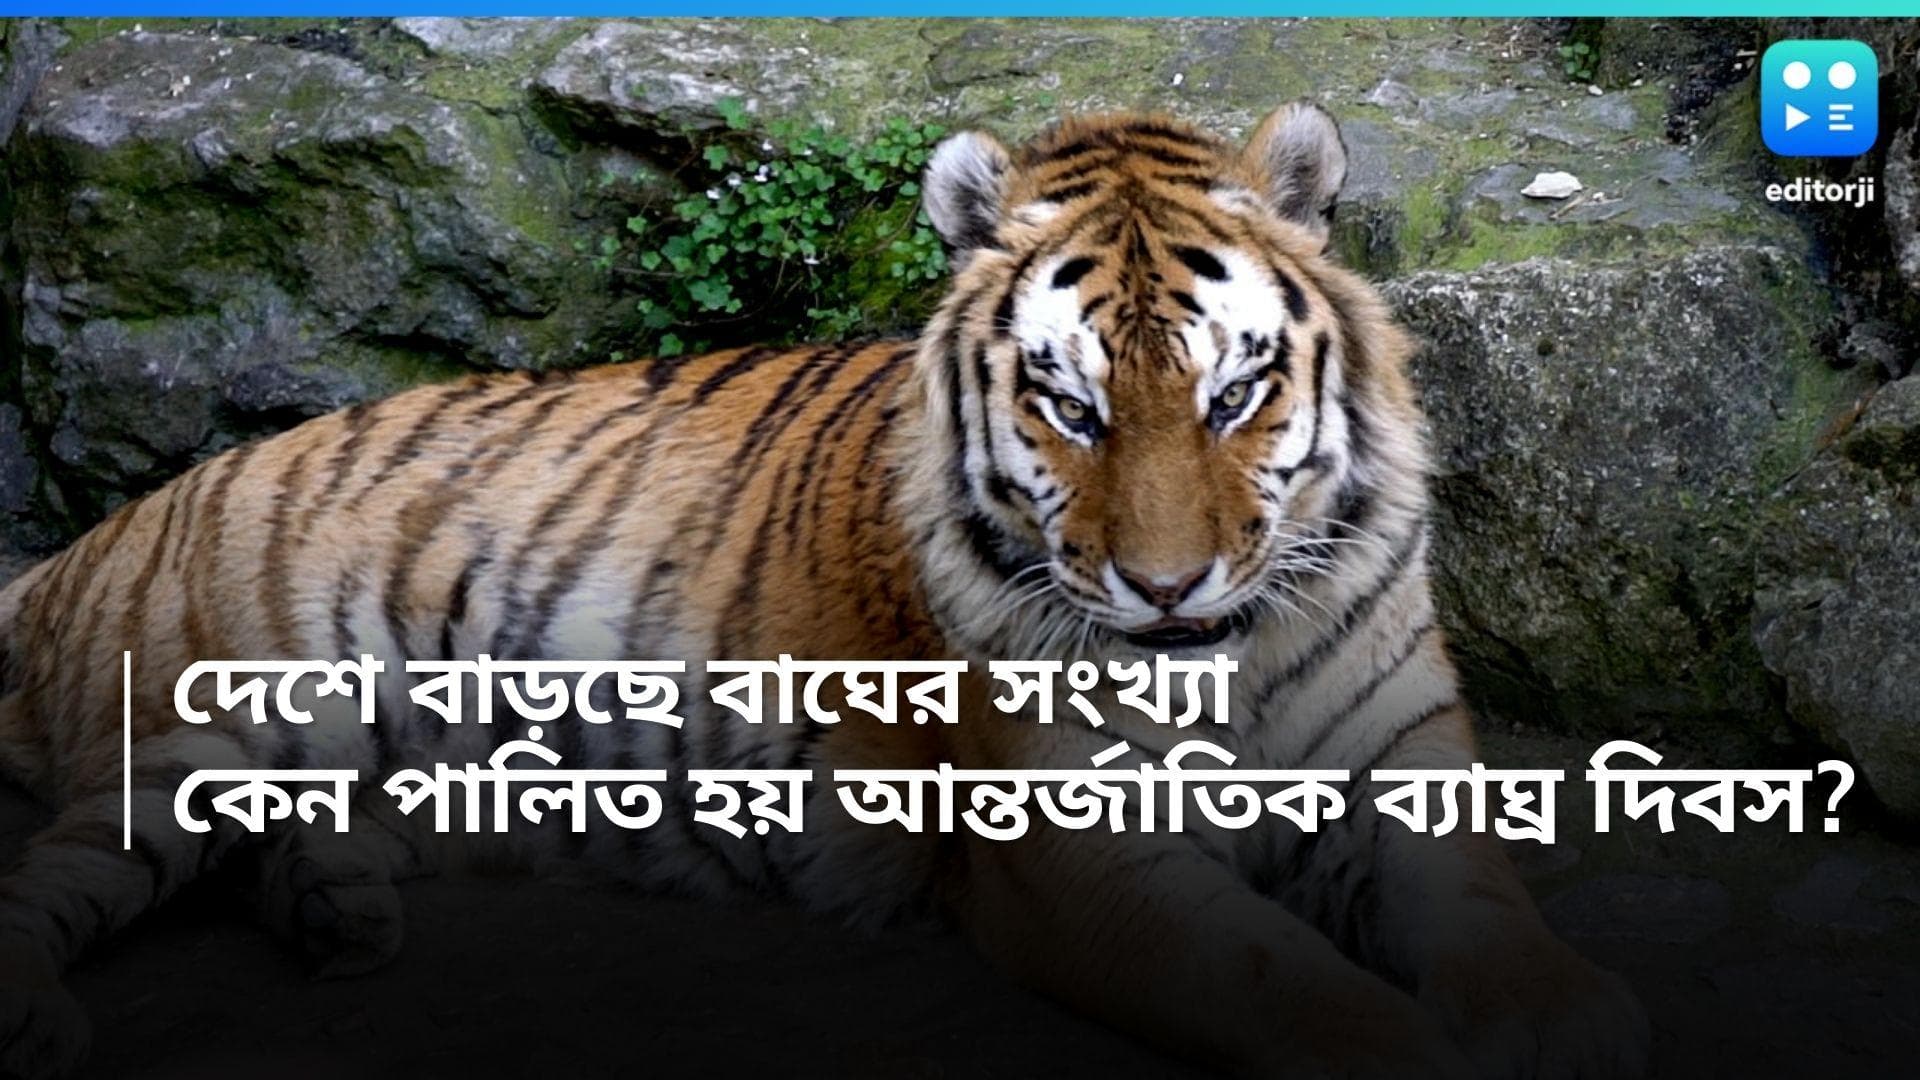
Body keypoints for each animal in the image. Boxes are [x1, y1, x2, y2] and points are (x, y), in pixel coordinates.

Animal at [0, 103, 1648, 1078]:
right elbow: (1290, 987)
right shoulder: (1079, 862)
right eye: (1072, 408)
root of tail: (105, 530)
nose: (1167, 589)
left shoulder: (1403, 775)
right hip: (210, 728)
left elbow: (1499, 932)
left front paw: (1577, 1021)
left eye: (1233, 395)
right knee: (51, 871)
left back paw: (341, 912)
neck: (1225, 660)